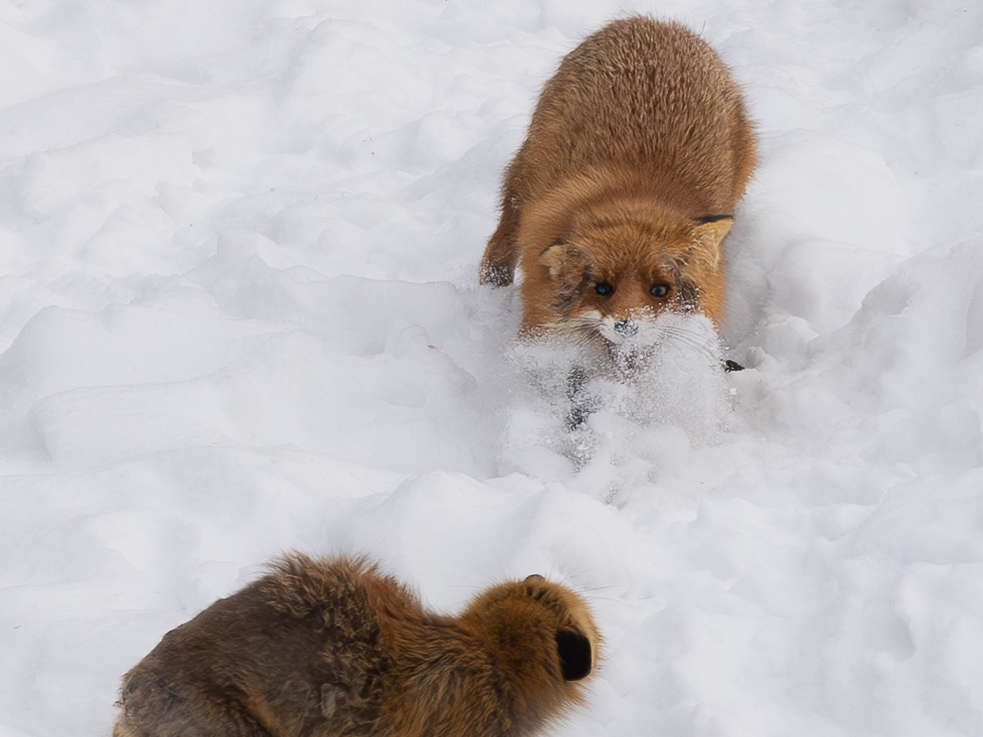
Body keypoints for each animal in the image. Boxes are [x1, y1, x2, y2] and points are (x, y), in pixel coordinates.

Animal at [480, 17, 756, 354]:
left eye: (660, 290)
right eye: (602, 288)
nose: (627, 325)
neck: (636, 192)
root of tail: (651, 21)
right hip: (525, 181)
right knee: (502, 237)